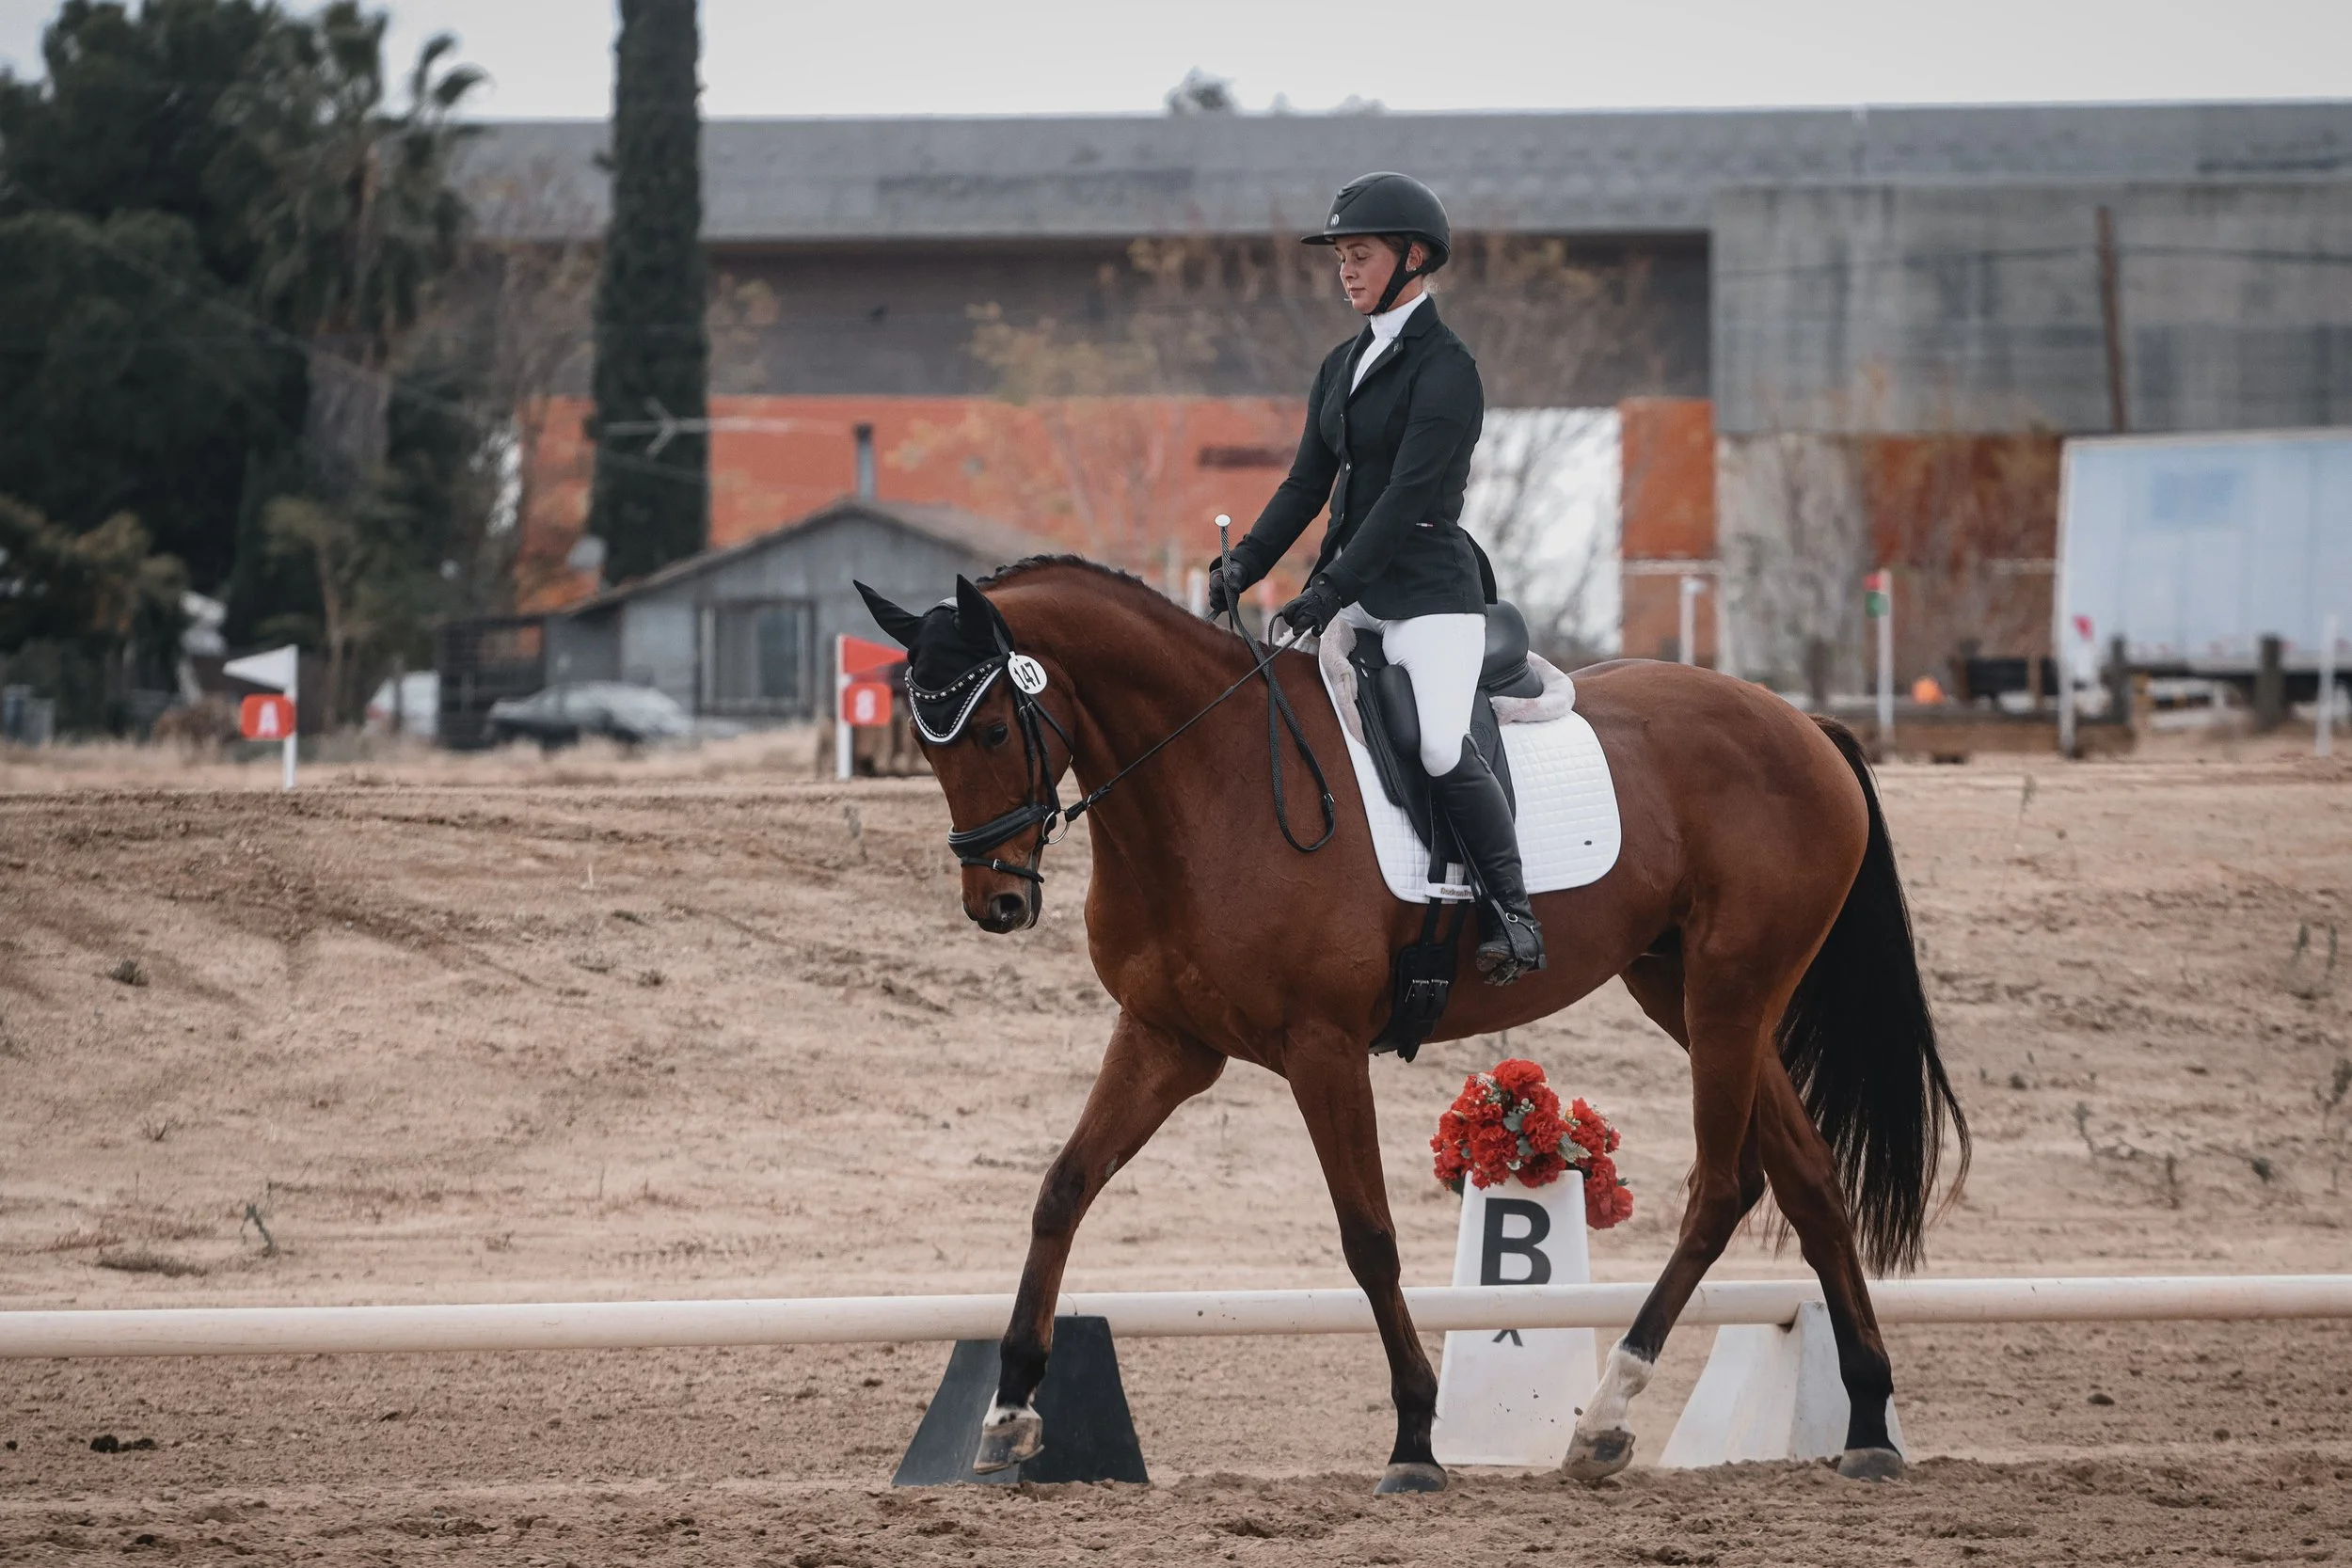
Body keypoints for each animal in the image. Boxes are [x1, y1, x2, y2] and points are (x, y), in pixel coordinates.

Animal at [854, 557, 1968, 1494]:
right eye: (926, 743)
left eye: (993, 731)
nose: (996, 903)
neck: (1203, 781)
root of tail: (1802, 724)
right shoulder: (1168, 1039)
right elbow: (1062, 1189)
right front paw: (1007, 1409)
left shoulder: (1321, 1047)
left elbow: (1369, 1238)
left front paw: (1416, 1440)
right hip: (1687, 992)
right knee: (1810, 1177)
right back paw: (1866, 1423)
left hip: (1731, 993)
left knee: (1724, 1186)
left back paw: (1604, 1416)